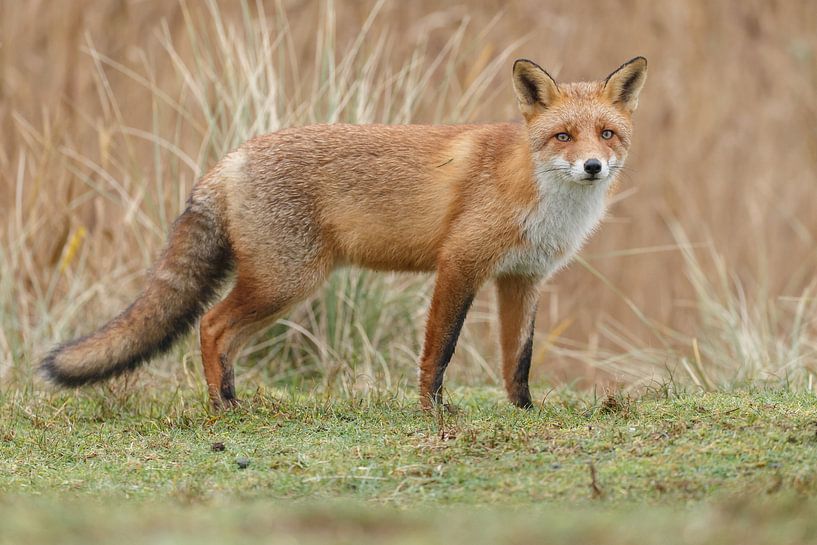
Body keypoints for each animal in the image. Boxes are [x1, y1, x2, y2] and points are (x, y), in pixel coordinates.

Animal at [41, 57, 648, 410]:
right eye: (563, 136)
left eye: (607, 134)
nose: (593, 167)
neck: (541, 198)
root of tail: (231, 158)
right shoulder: (460, 264)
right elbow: (441, 350)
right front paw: (433, 413)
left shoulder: (522, 279)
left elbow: (517, 360)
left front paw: (524, 413)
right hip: (287, 282)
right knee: (211, 327)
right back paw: (221, 409)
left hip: (283, 288)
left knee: (223, 336)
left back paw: (232, 400)